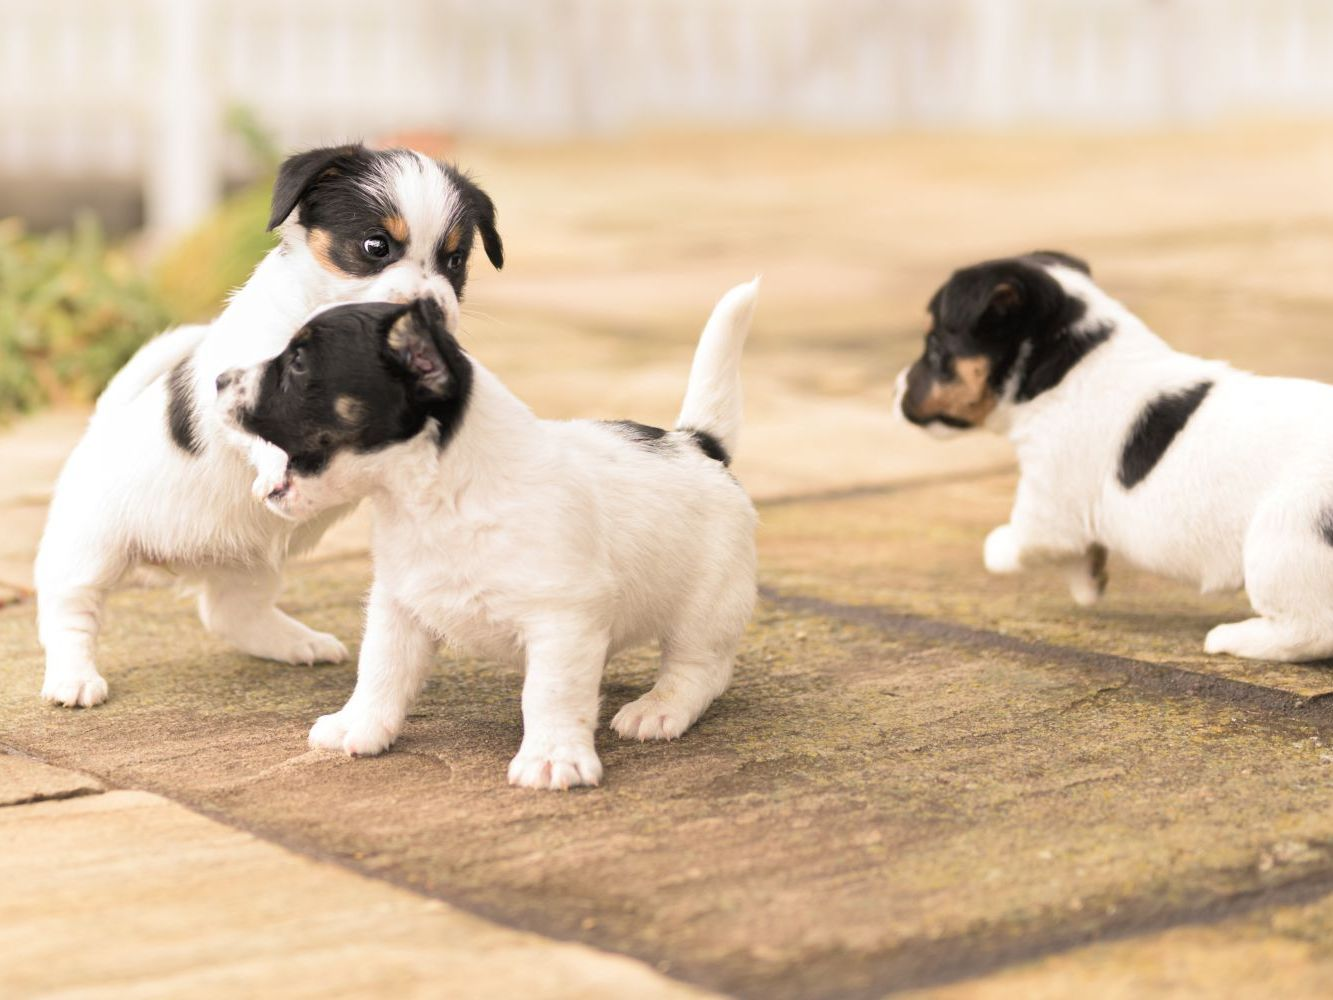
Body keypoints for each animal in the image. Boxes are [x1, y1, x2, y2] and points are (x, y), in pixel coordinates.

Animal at [37, 144, 503, 709]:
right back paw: (73, 678)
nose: (431, 308)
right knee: (69, 610)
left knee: (230, 614)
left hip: (246, 567)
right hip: (89, 549)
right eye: (375, 245)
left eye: (455, 260)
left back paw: (296, 643)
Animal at [217, 280, 762, 789]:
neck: (436, 499)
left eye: (299, 363)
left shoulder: (562, 619)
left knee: (700, 669)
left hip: (705, 609)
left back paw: (659, 707)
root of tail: (697, 443)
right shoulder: (399, 606)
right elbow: (381, 669)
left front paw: (552, 757)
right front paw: (360, 726)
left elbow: (549, 692)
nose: (219, 378)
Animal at [895, 249, 1333, 666]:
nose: (897, 385)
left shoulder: (1046, 504)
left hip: (1281, 539)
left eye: (934, 346)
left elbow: (1014, 542)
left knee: (1311, 630)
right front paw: (1089, 582)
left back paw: (1233, 638)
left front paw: (999, 549)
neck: (1069, 366)